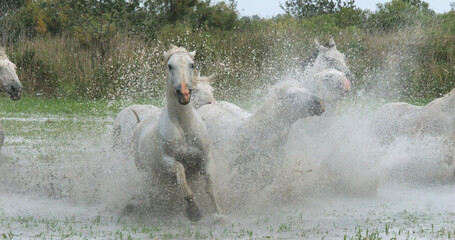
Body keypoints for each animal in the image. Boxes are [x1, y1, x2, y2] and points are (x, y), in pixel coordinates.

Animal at [134, 46, 221, 222]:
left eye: (192, 64)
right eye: (170, 66)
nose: (184, 94)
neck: (183, 125)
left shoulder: (206, 157)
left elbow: (210, 188)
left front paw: (218, 214)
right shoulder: (168, 160)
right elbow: (181, 173)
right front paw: (193, 211)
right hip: (147, 174)